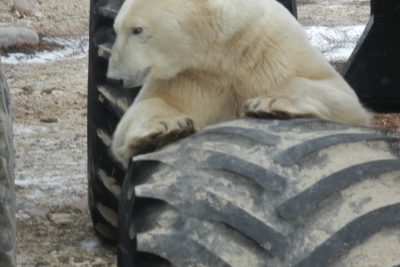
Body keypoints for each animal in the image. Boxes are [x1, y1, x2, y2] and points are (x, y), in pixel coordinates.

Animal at [107, 0, 372, 169]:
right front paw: (166, 127)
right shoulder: (190, 77)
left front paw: (269, 102)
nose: (114, 77)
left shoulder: (273, 49)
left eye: (137, 29)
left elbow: (344, 100)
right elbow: (137, 116)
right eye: (116, 29)